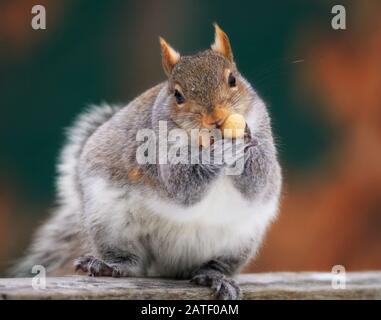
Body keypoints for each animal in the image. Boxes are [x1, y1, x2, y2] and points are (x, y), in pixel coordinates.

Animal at [11, 24, 280, 300]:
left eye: (232, 80)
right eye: (177, 95)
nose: (215, 119)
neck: (202, 141)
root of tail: (171, 267)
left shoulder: (263, 129)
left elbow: (259, 181)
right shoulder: (156, 149)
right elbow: (181, 187)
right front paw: (221, 152)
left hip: (239, 241)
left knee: (214, 264)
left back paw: (213, 276)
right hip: (110, 223)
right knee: (132, 261)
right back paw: (109, 266)